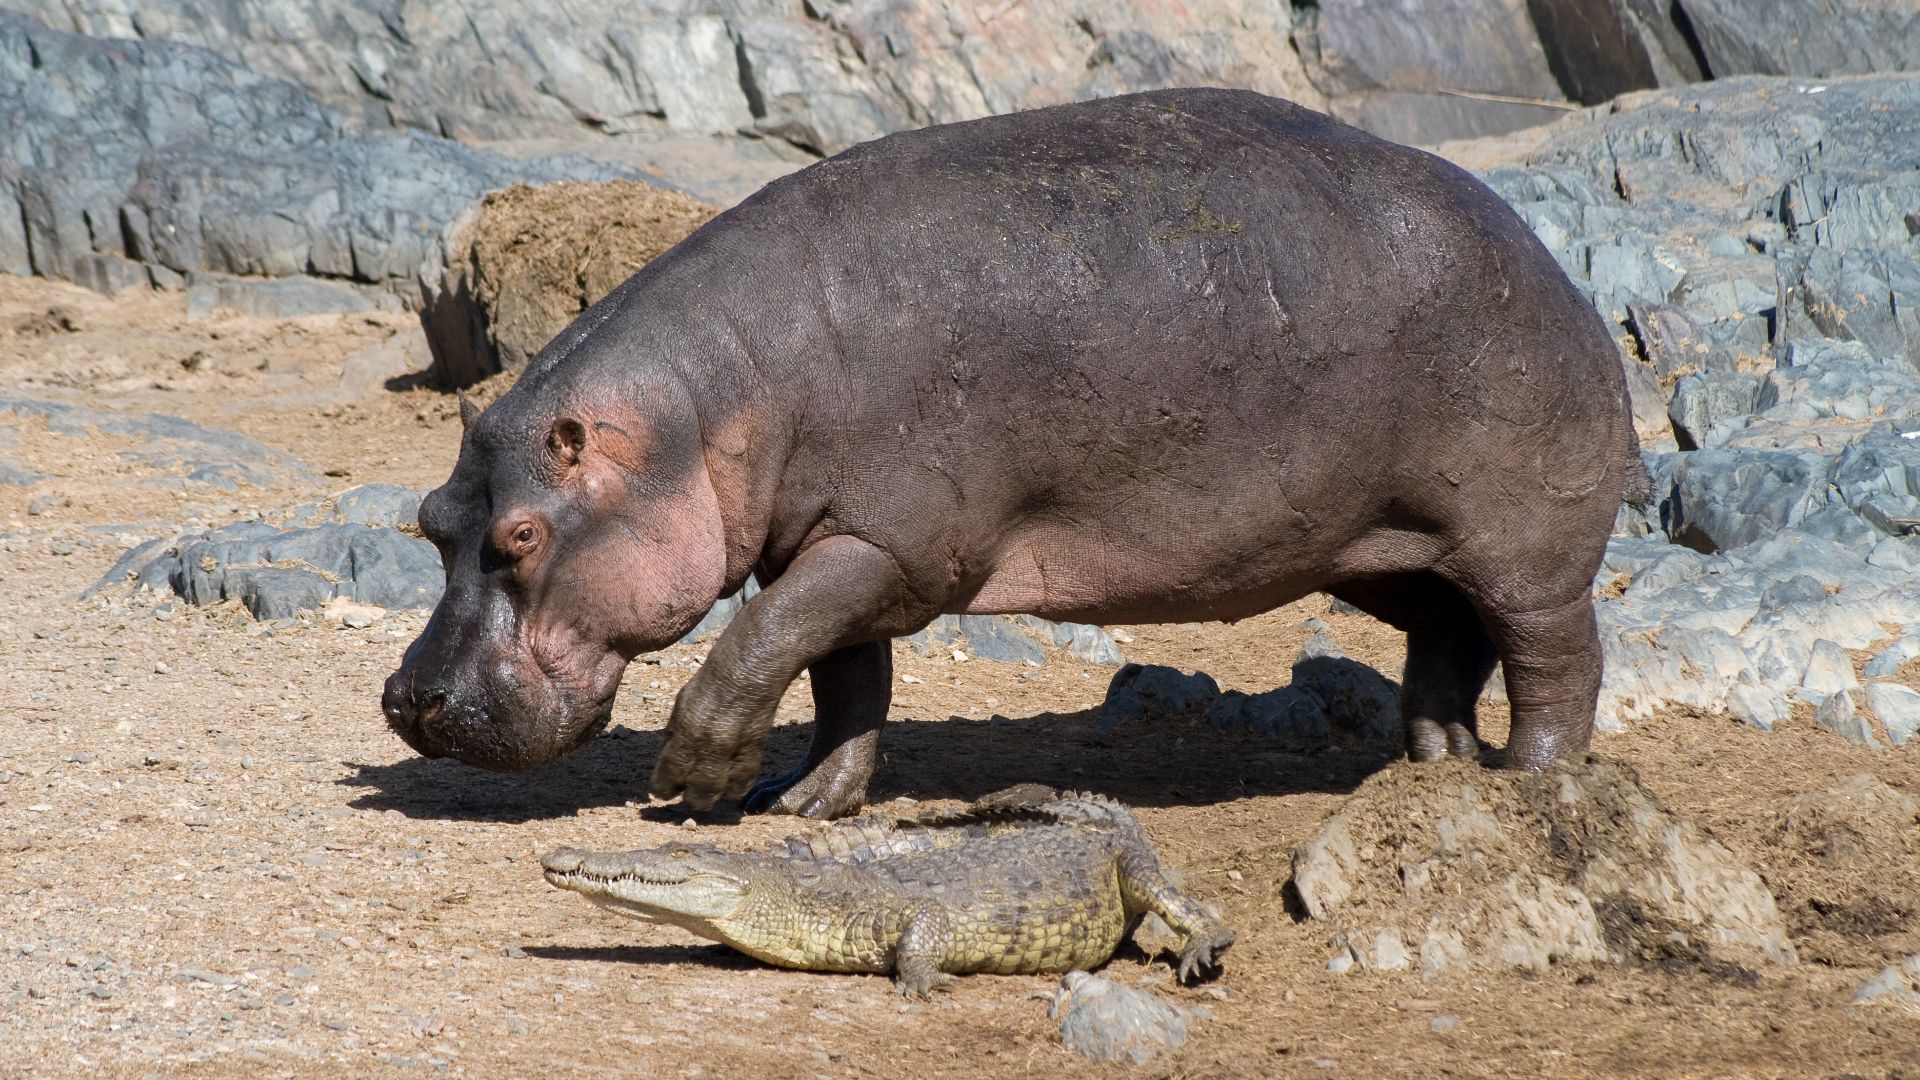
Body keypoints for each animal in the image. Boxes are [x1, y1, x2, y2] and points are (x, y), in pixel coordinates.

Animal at [383, 88, 1644, 819]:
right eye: (432, 523)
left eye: (522, 534)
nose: (407, 699)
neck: (704, 407)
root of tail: (1542, 255)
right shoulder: (837, 543)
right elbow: (839, 676)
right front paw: (805, 801)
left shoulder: (887, 544)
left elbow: (759, 646)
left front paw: (696, 785)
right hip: (1381, 546)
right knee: (1449, 637)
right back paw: (1433, 763)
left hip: (1520, 542)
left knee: (1554, 654)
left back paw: (1530, 781)